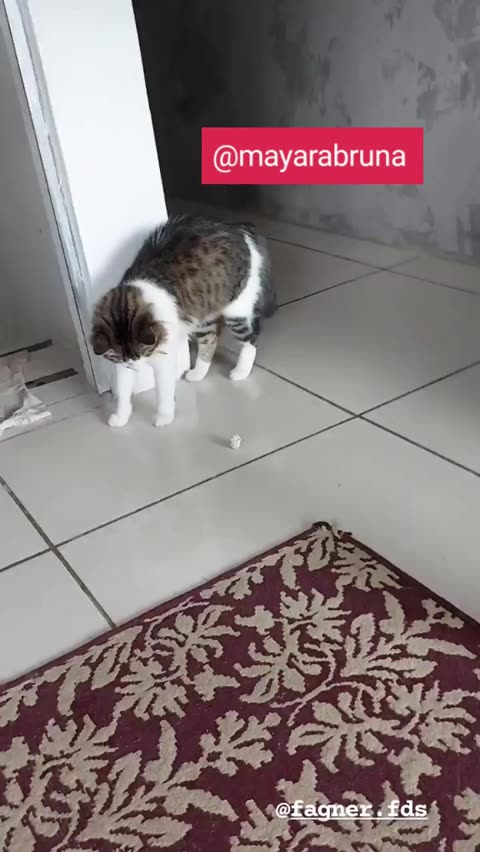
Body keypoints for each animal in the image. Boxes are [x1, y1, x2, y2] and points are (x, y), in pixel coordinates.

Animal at [91, 214, 276, 427]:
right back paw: (198, 373)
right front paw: (121, 417)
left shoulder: (164, 359)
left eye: (142, 352)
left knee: (251, 340)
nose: (136, 366)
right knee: (211, 341)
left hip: (236, 311)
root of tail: (237, 226)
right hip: (202, 318)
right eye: (125, 358)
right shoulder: (122, 366)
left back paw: (241, 371)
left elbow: (164, 392)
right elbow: (123, 392)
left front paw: (164, 416)